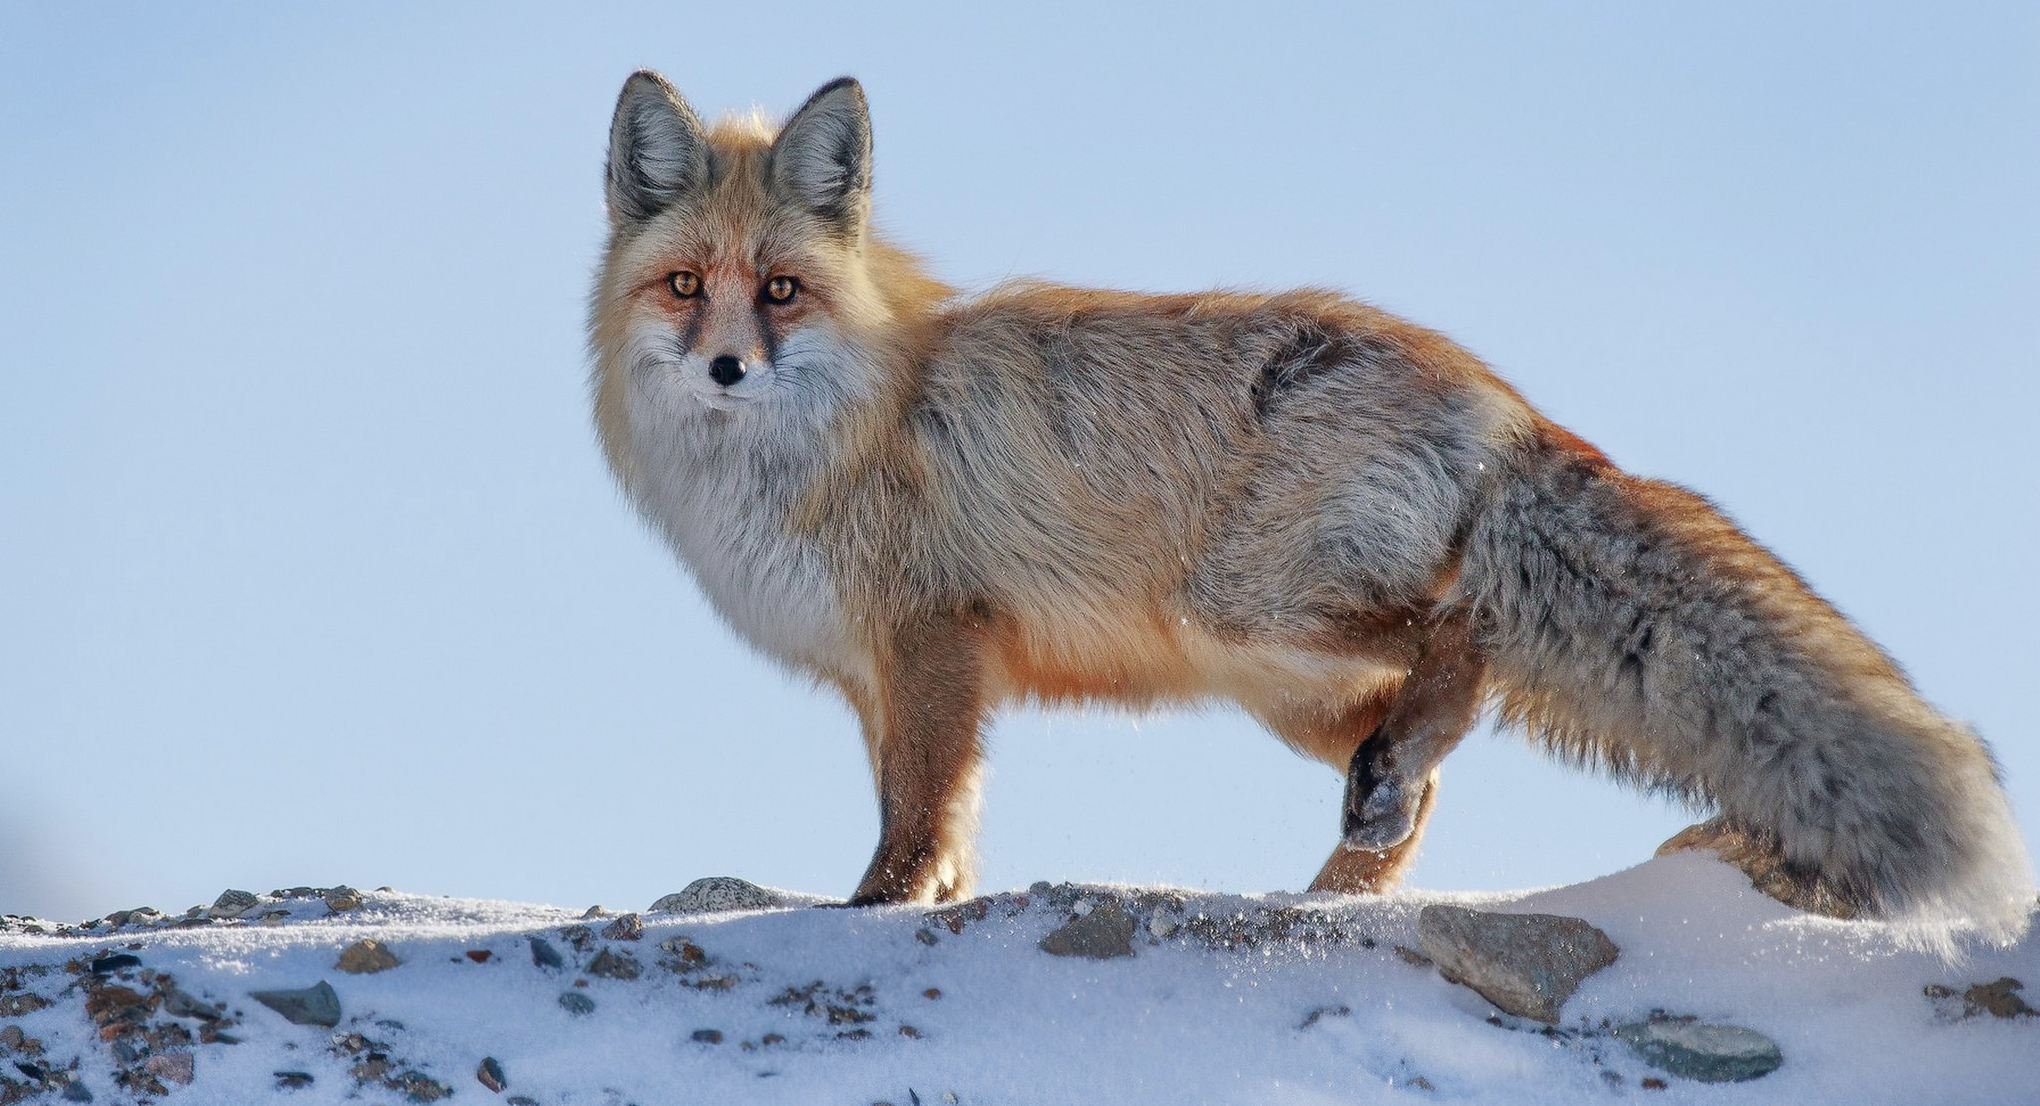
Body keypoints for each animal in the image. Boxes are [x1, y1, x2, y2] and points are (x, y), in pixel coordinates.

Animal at [583, 69, 2031, 942]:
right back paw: (1332, 897)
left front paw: (871, 911)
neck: (821, 445)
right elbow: (947, 825)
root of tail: (1498, 396)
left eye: (779, 291)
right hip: (1280, 681)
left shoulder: (934, 639)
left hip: (1254, 611)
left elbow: (915, 815)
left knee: (1469, 641)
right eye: (685, 286)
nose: (725, 366)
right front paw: (916, 903)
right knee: (1426, 778)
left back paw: (1358, 844)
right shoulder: (886, 674)